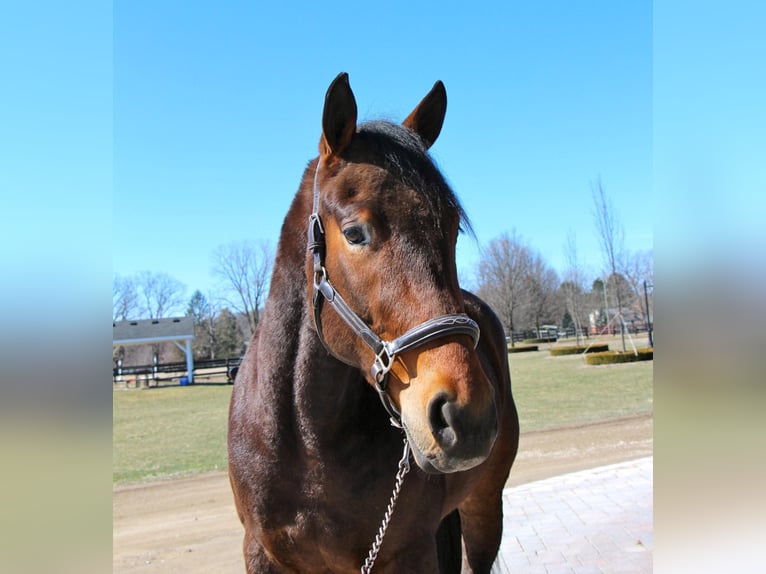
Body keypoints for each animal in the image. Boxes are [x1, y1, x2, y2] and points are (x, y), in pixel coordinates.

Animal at [225, 74, 520, 572]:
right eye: (355, 233)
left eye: (452, 230)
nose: (467, 415)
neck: (308, 445)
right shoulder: (260, 553)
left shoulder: (408, 551)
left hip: (484, 506)